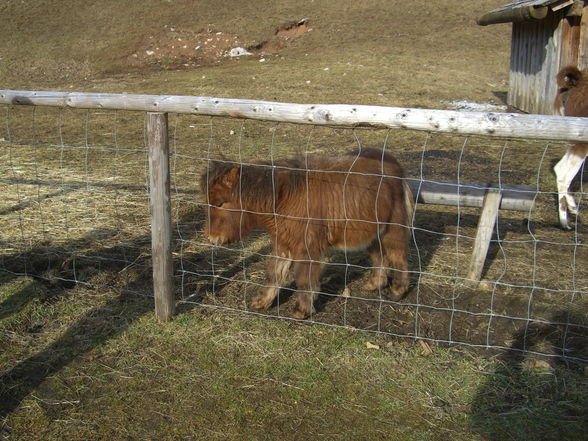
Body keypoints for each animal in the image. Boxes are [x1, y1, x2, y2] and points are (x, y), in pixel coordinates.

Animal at [202, 147, 414, 316]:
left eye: (219, 203)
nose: (211, 238)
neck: (283, 198)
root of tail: (393, 162)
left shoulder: (306, 248)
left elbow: (304, 279)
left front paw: (301, 311)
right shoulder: (283, 243)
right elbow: (274, 273)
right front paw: (262, 302)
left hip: (393, 228)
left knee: (399, 256)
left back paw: (397, 291)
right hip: (372, 231)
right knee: (379, 256)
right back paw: (374, 284)